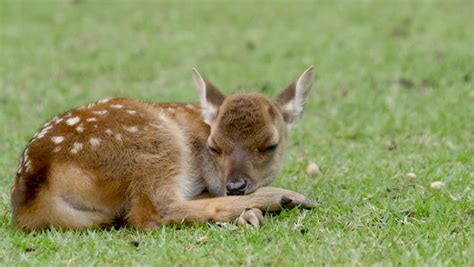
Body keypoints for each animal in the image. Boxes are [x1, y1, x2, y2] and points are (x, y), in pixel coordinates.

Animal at [11, 66, 316, 231]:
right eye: (214, 147)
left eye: (270, 146)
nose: (235, 186)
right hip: (155, 146)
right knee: (153, 211)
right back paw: (285, 198)